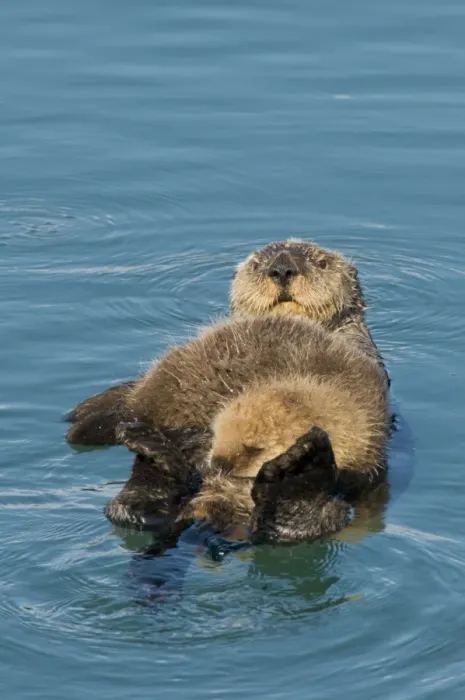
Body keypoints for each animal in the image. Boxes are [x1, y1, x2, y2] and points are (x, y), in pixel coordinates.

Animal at [66, 240, 390, 543]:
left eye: (321, 263)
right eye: (258, 264)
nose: (282, 269)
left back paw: (299, 479)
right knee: (133, 508)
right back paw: (154, 453)